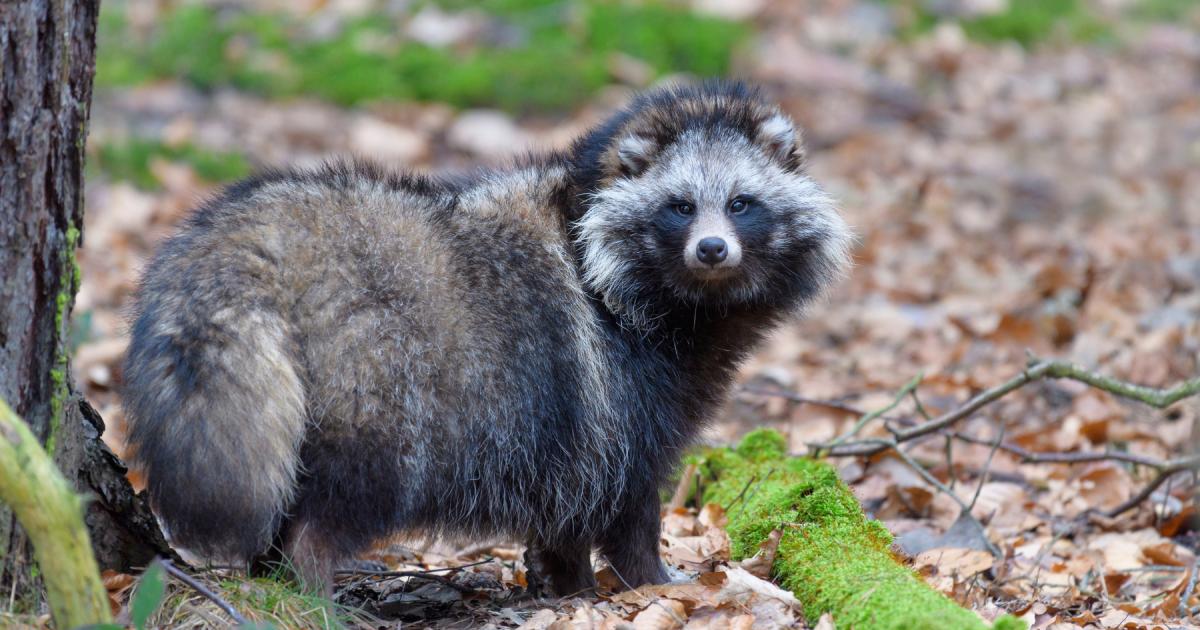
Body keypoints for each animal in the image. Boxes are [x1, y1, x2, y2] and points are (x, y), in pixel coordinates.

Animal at [121, 82, 851, 596]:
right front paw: (651, 580)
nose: (712, 249)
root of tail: (259, 242)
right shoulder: (623, 388)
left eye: (740, 203)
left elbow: (566, 508)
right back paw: (313, 585)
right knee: (348, 497)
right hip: (380, 377)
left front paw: (568, 585)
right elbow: (625, 495)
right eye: (679, 206)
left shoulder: (571, 427)